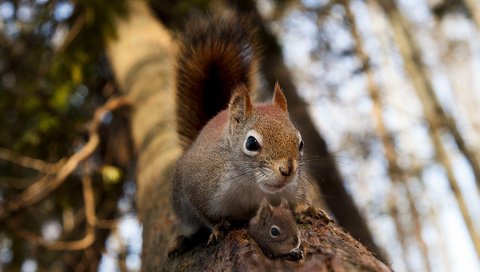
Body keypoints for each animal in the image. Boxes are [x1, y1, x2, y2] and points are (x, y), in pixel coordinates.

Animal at [169, 14, 310, 258]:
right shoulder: (200, 188)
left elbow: (295, 200)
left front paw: (304, 209)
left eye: (300, 142)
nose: (287, 171)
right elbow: (207, 216)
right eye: (251, 143)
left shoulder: (291, 188)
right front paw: (217, 229)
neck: (251, 183)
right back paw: (179, 240)